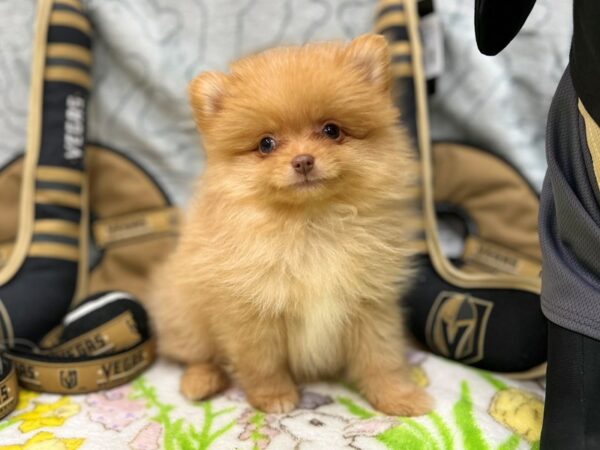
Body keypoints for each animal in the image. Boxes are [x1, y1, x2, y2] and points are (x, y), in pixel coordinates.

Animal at [148, 33, 434, 416]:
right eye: (266, 144)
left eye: (331, 130)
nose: (302, 161)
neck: (310, 223)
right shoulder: (252, 311)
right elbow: (263, 363)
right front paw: (274, 397)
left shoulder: (370, 304)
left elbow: (381, 357)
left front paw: (398, 397)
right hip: (185, 315)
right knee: (196, 355)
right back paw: (200, 380)